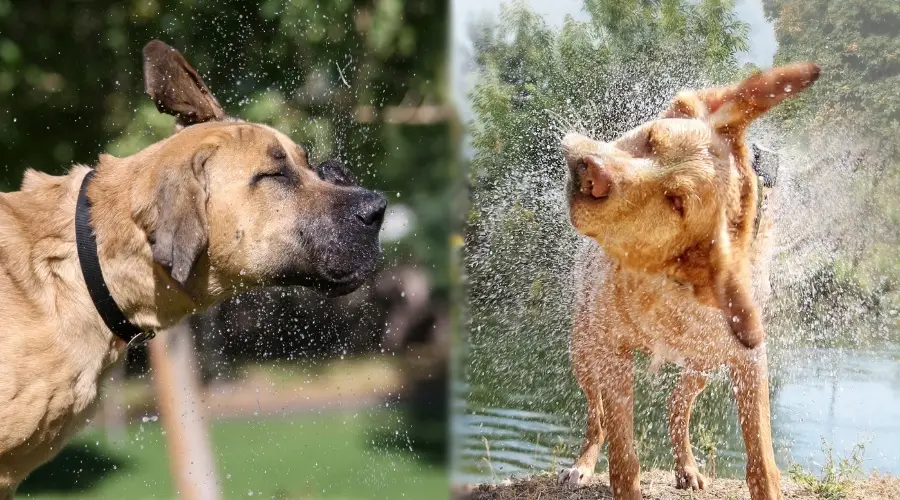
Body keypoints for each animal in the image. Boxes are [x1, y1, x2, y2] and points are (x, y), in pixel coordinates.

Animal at [560, 63, 820, 500]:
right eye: (650, 138)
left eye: (676, 202)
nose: (592, 170)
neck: (669, 280)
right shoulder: (613, 351)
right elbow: (624, 459)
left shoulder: (749, 359)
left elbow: (762, 460)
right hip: (583, 350)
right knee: (596, 415)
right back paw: (582, 464)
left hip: (702, 364)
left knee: (676, 405)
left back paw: (686, 467)